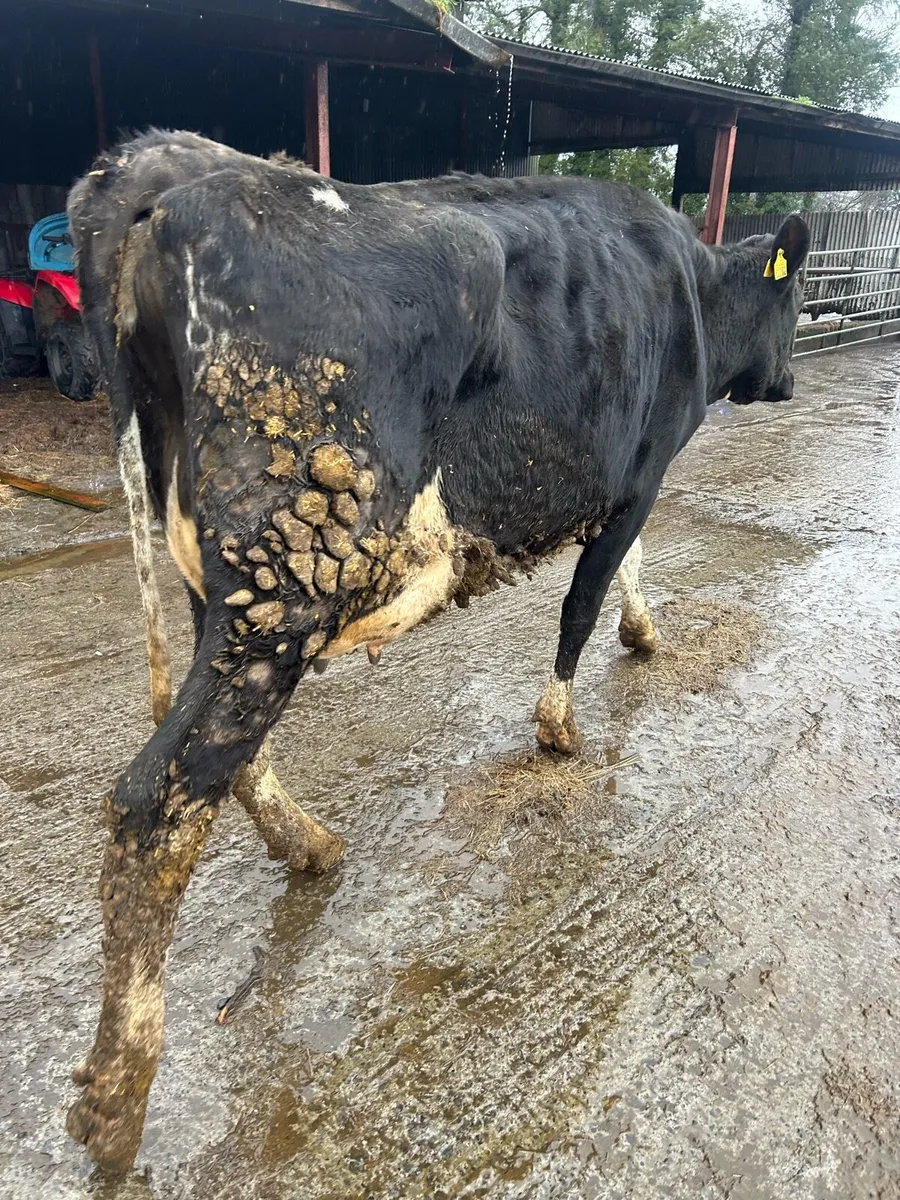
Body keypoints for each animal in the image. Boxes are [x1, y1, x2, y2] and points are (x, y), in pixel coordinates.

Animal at [64, 131, 808, 1173]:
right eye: (797, 301)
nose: (791, 380)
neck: (695, 287)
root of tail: (161, 169)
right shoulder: (641, 472)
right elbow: (583, 601)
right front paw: (560, 726)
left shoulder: (623, 484)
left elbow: (623, 574)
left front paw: (646, 632)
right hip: (293, 574)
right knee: (157, 800)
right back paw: (118, 1095)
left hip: (222, 575)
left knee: (216, 760)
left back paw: (307, 842)